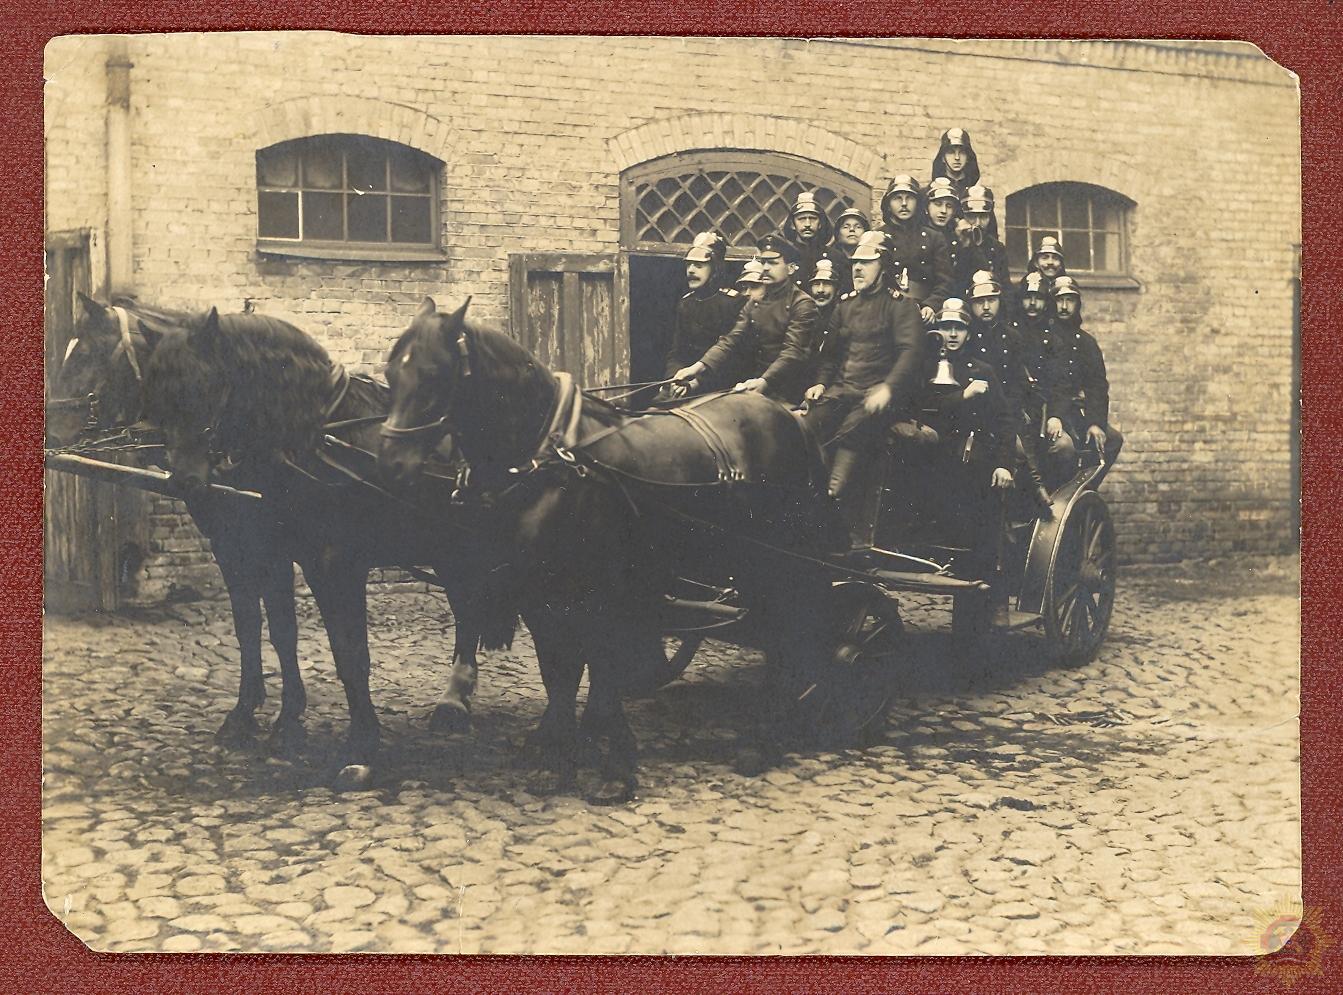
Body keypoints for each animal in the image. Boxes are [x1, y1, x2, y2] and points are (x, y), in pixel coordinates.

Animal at [378, 295, 838, 800]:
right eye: (390, 372)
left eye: (434, 373)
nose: (390, 463)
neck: (550, 459)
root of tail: (791, 419)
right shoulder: (540, 591)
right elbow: (557, 671)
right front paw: (555, 754)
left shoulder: (597, 591)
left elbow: (595, 662)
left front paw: (612, 757)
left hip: (780, 563)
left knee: (791, 631)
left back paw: (770, 732)